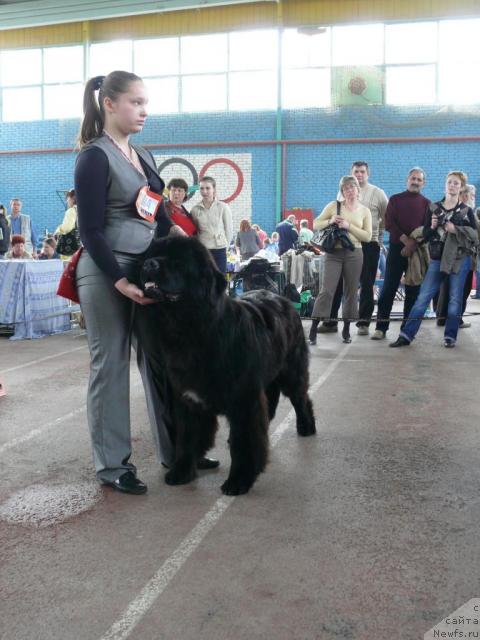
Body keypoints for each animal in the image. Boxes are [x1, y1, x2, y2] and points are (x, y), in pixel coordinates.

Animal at [141, 236, 316, 496]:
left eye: (178, 261)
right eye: (154, 253)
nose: (148, 264)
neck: (191, 329)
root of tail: (285, 300)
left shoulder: (243, 400)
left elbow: (242, 443)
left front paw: (239, 480)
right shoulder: (188, 399)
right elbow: (187, 438)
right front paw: (181, 471)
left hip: (291, 371)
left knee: (301, 398)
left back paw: (306, 427)